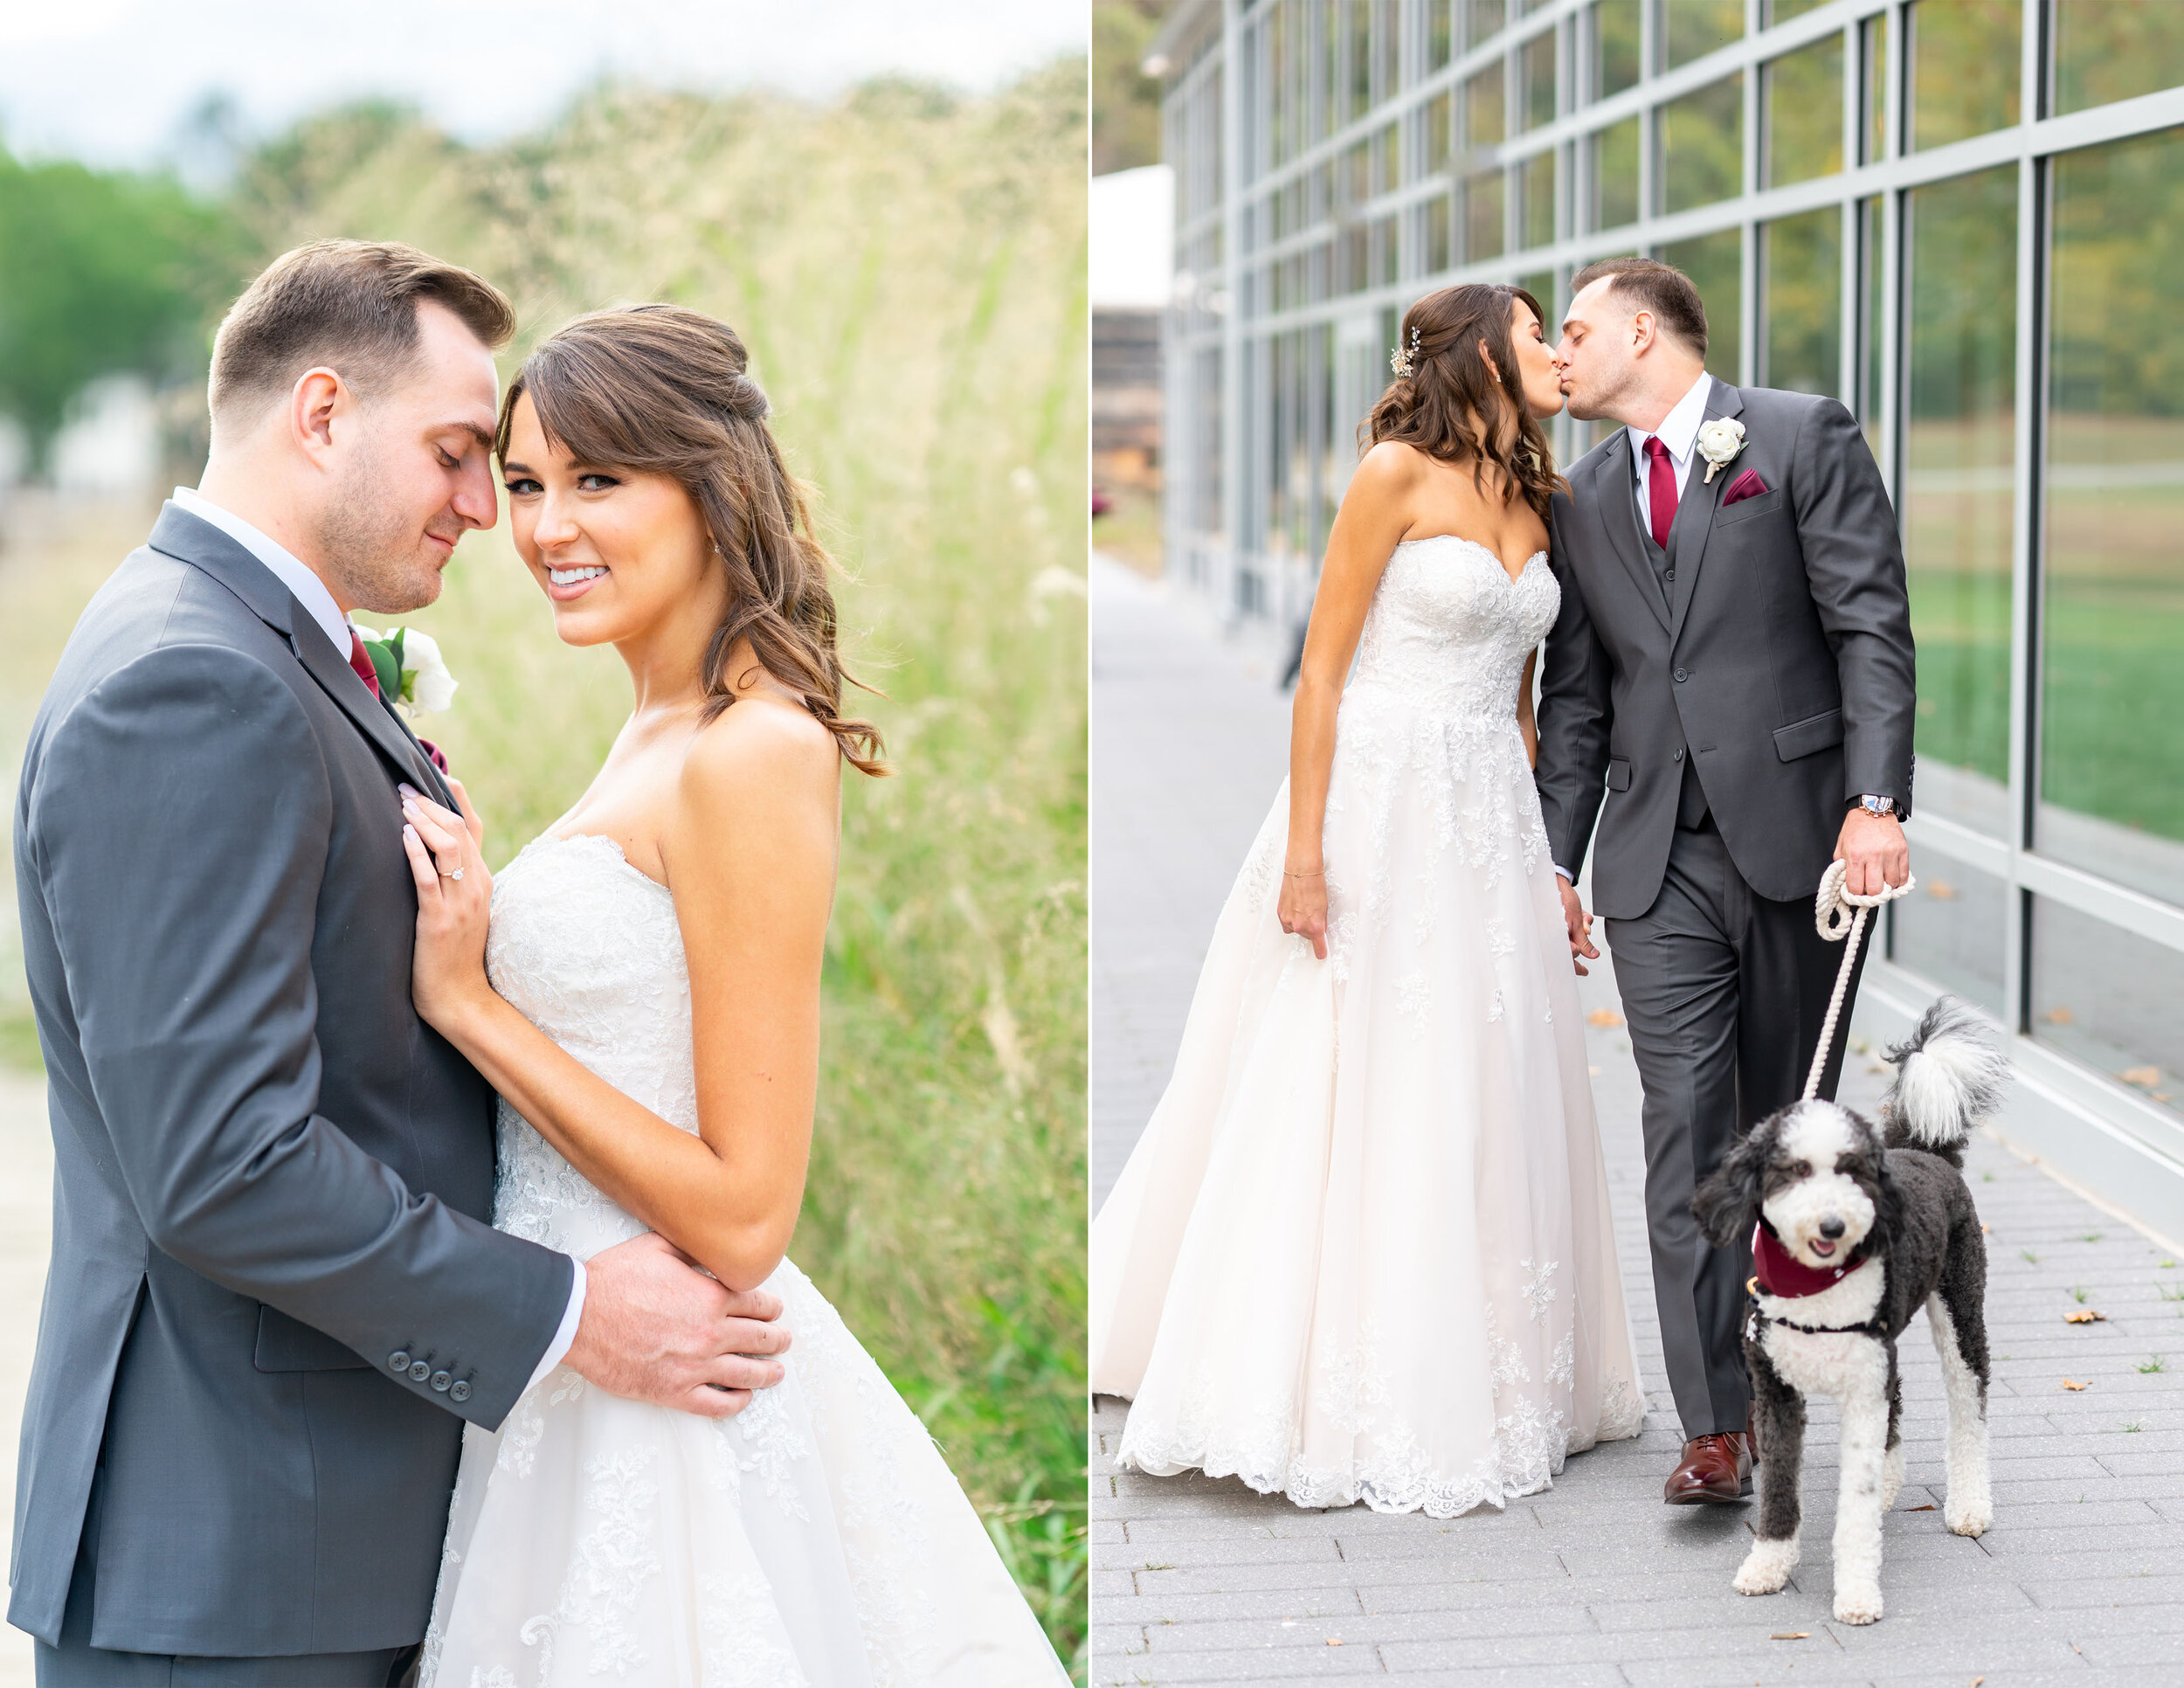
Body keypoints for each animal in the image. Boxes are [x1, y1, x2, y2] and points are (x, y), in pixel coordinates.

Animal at [1686, 1000, 2009, 1615]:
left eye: (1852, 1170)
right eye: (1794, 1170)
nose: (1834, 1224)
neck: (1816, 1292)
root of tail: (1924, 1152)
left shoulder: (1861, 1391)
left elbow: (1853, 1509)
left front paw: (1857, 1592)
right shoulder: (1777, 1392)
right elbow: (1778, 1489)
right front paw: (1767, 1566)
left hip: (1961, 1307)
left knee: (1970, 1403)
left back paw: (1970, 1506)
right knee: (1900, 1395)